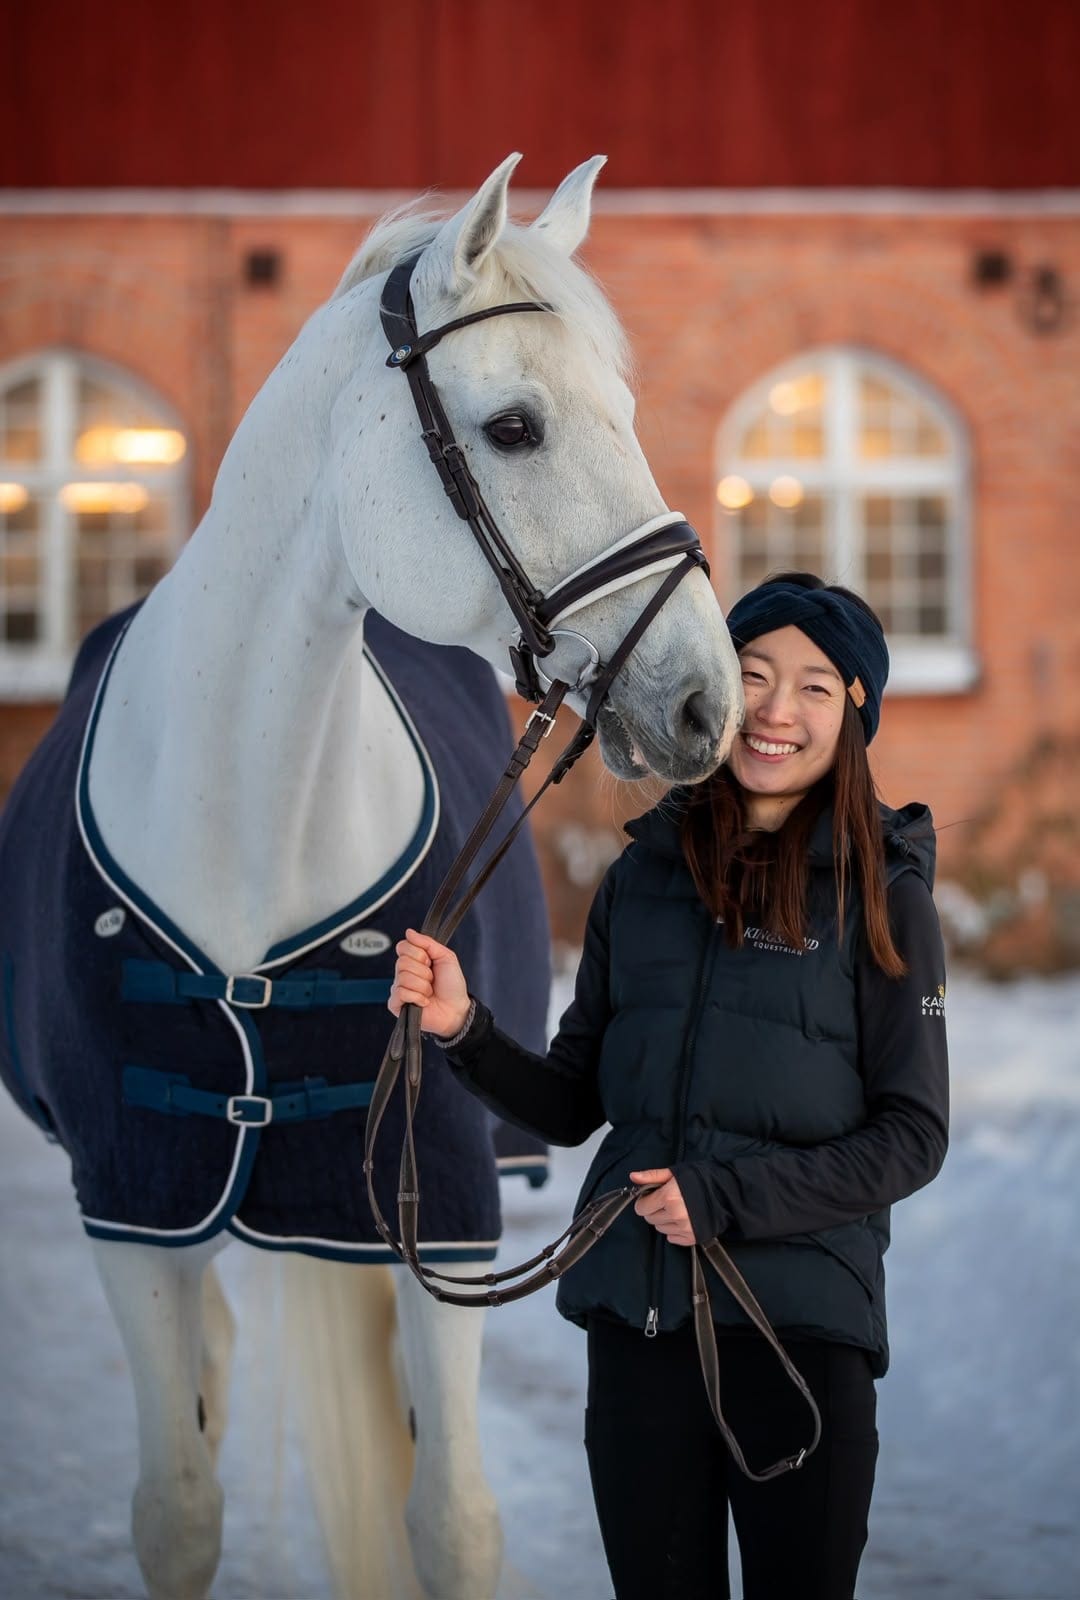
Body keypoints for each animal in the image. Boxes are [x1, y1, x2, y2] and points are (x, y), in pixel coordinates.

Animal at [0, 153, 742, 1600]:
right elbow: (178, 1509)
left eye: (625, 414)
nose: (706, 701)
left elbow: (449, 1520)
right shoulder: (133, 1204)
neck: (250, 813)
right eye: (513, 427)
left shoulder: (440, 1208)